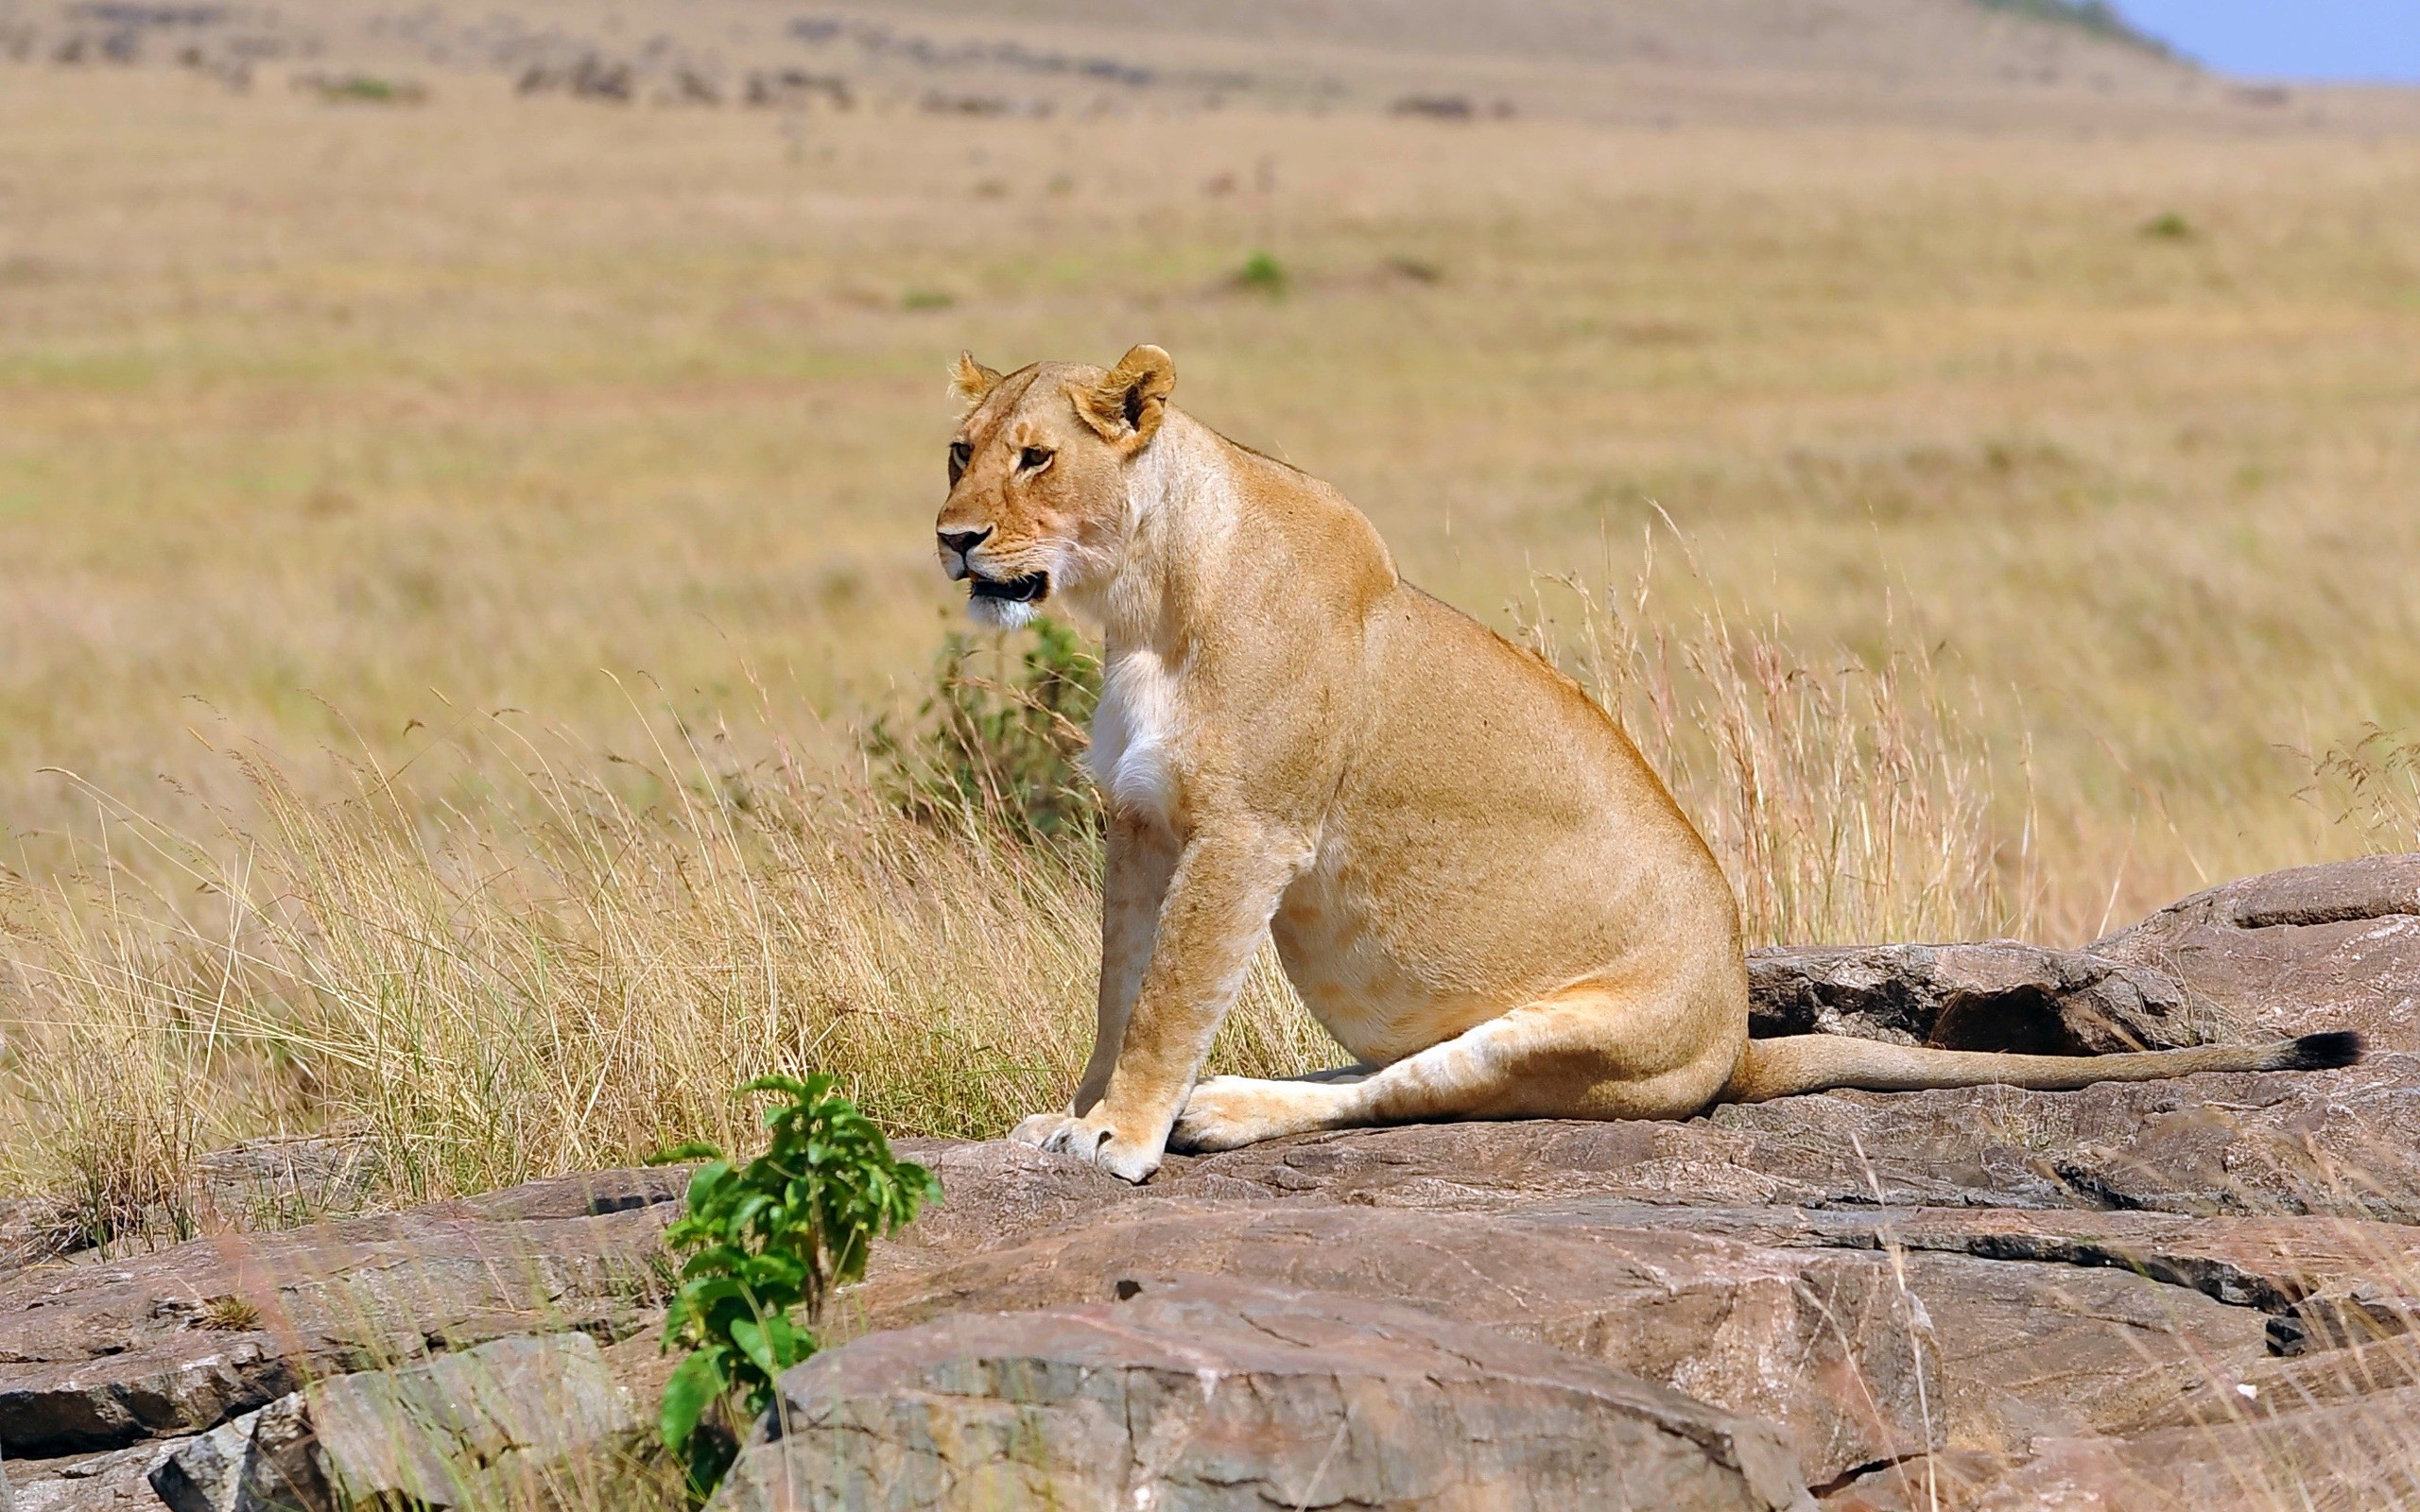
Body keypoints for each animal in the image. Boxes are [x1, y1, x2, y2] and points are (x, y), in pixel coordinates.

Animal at [933, 343, 2362, 1184]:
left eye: (1036, 457)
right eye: (959, 451)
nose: (951, 540)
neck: (1136, 604)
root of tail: (1736, 1046)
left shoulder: (1246, 832)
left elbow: (1170, 993)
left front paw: (1120, 1135)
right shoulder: (1140, 824)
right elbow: (1119, 987)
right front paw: (1071, 1114)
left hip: (1574, 1036)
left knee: (1410, 1094)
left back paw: (1221, 1112)